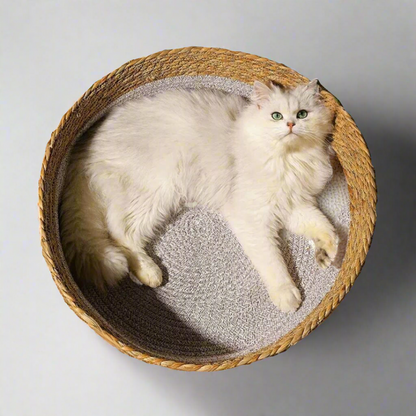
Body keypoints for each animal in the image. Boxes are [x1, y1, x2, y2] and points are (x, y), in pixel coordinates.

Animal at [59, 79, 338, 312]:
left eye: (302, 114)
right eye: (276, 116)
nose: (291, 124)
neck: (289, 160)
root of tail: (85, 145)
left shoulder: (294, 204)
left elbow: (324, 226)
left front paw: (329, 253)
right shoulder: (253, 216)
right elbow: (273, 261)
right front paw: (287, 296)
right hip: (156, 190)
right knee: (120, 232)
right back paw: (149, 273)